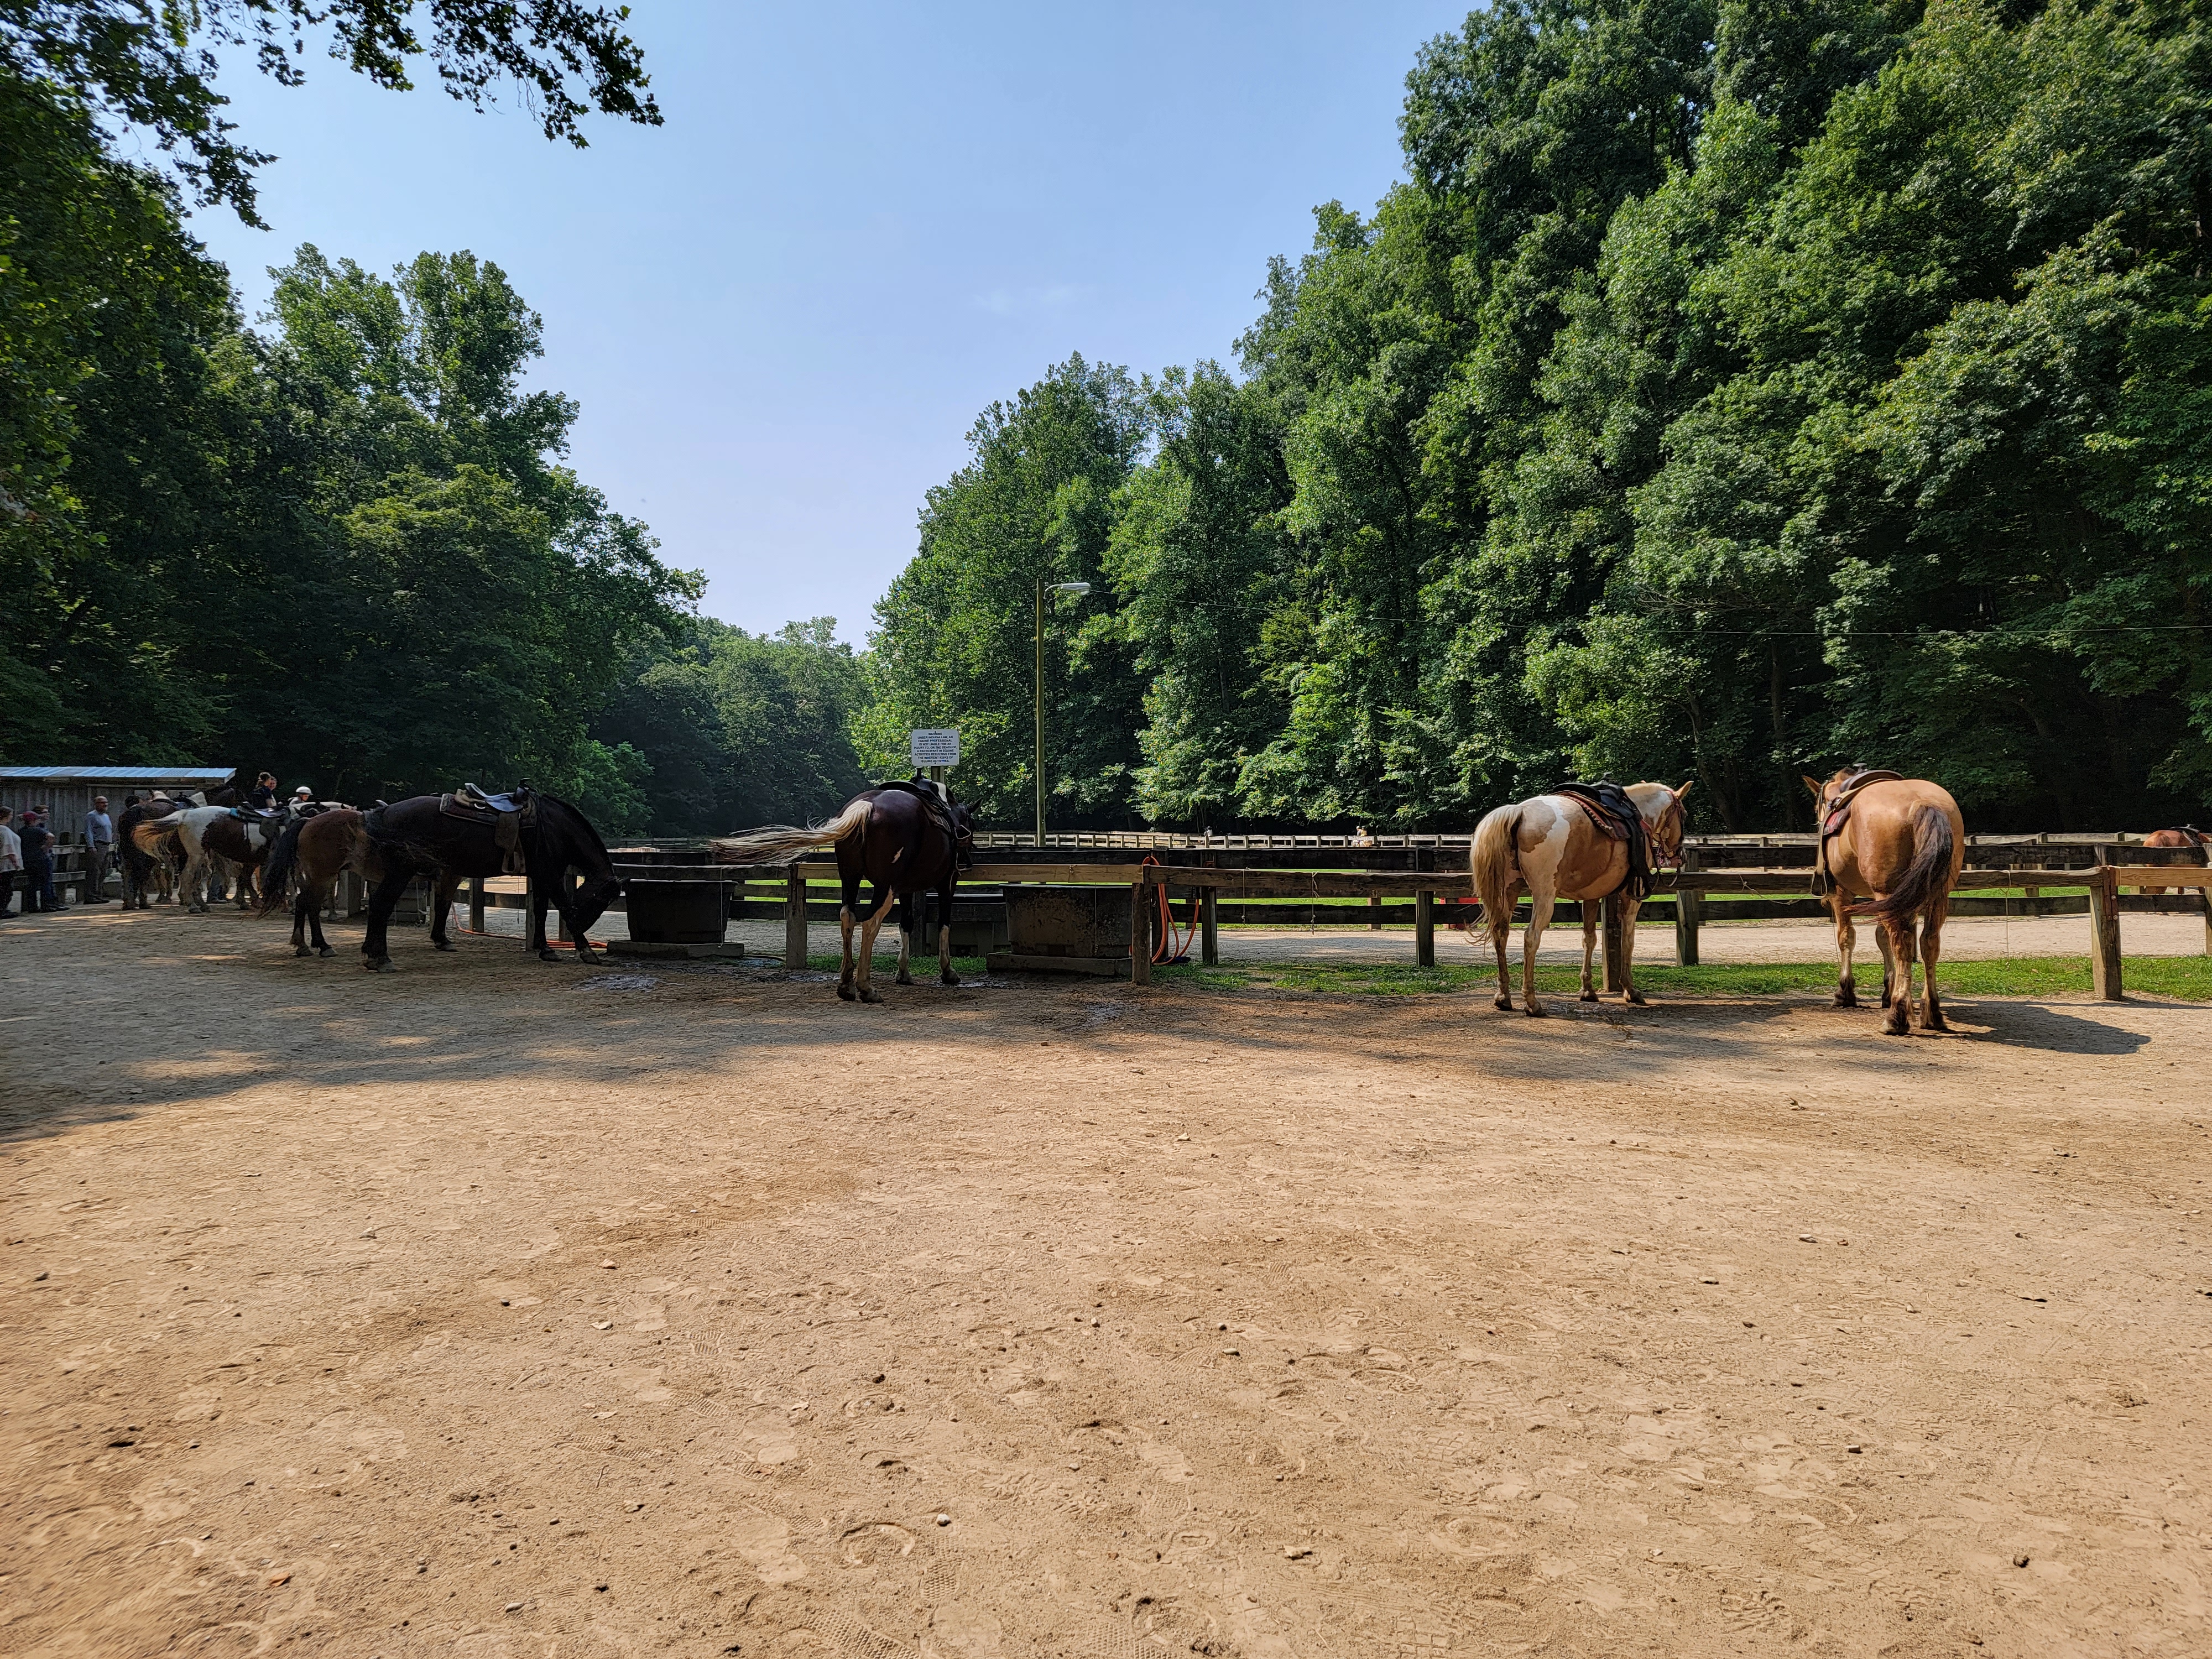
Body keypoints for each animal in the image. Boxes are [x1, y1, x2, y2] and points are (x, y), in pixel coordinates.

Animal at [259, 792, 624, 973]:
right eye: (601, 900)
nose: (587, 926)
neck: (552, 825)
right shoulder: (548, 873)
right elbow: (560, 907)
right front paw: (586, 951)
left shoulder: (538, 875)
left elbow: (541, 910)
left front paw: (546, 950)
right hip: (372, 873)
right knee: (370, 906)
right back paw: (374, 957)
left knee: (311, 903)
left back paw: (325, 947)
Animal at [717, 787, 978, 1009]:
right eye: (970, 823)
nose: (967, 859)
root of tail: (867, 806)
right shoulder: (947, 882)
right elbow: (944, 923)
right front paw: (948, 972)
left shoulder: (906, 889)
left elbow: (907, 924)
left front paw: (903, 973)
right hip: (884, 887)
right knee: (870, 922)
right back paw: (866, 987)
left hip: (850, 879)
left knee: (847, 917)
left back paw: (846, 984)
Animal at [1469, 787, 1690, 1022]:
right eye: (1683, 814)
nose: (1679, 855)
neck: (1640, 815)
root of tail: (1520, 811)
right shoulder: (1632, 897)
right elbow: (1627, 941)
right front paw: (1630, 990)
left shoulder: (1592, 896)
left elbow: (1589, 939)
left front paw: (1588, 990)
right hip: (1544, 895)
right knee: (1531, 937)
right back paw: (1532, 1002)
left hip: (1509, 891)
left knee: (1500, 933)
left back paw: (1503, 997)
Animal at [1805, 770, 1964, 1040]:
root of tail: (1923, 803)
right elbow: (1883, 939)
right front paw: (1889, 991)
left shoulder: (1842, 897)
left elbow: (1847, 938)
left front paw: (1845, 993)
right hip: (1937, 896)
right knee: (1928, 943)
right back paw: (1931, 1012)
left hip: (1887, 893)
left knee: (1902, 945)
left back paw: (1896, 1017)